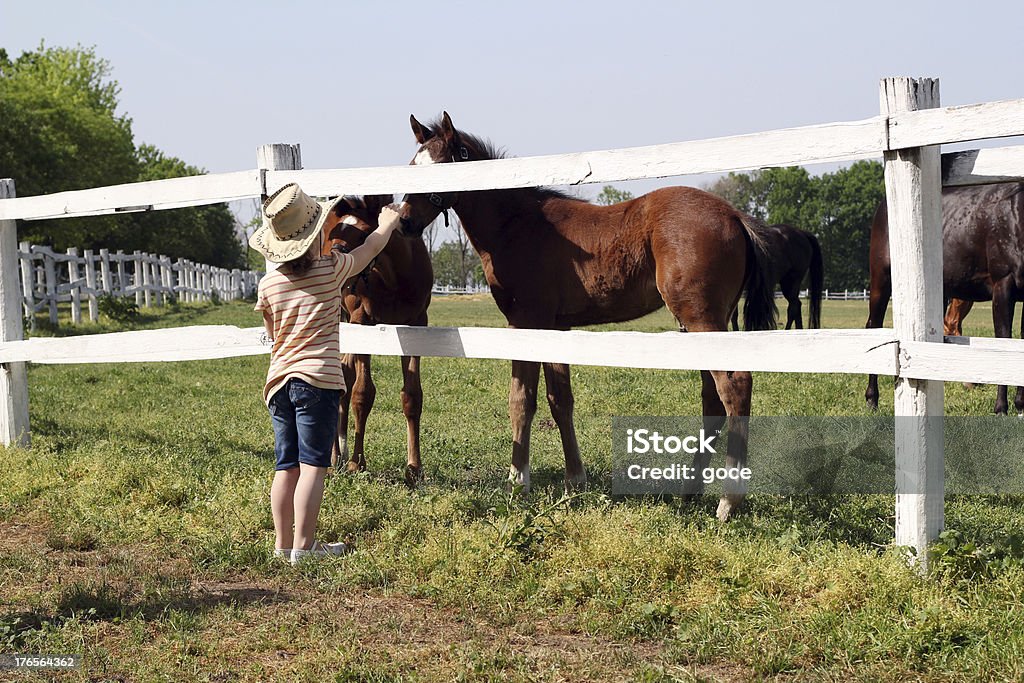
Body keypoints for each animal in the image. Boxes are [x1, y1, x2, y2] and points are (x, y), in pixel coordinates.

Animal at [319, 193, 432, 485]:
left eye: (362, 235)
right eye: (333, 234)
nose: (332, 263)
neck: (395, 278)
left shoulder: (416, 324)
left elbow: (412, 396)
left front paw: (414, 467)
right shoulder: (362, 321)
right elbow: (363, 393)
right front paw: (356, 462)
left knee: (344, 375)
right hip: (343, 320)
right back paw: (336, 457)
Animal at [395, 113, 770, 518]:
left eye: (439, 169)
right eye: (411, 166)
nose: (403, 222)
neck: (517, 225)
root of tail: (734, 215)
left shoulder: (526, 321)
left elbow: (522, 399)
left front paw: (518, 481)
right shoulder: (556, 326)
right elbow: (560, 400)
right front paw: (575, 481)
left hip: (701, 318)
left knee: (734, 387)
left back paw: (728, 500)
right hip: (700, 323)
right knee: (712, 398)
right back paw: (690, 491)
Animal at [864, 183, 1024, 417]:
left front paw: (1020, 404)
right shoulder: (1002, 287)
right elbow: (1005, 341)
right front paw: (1001, 408)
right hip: (881, 280)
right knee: (873, 325)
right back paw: (872, 398)